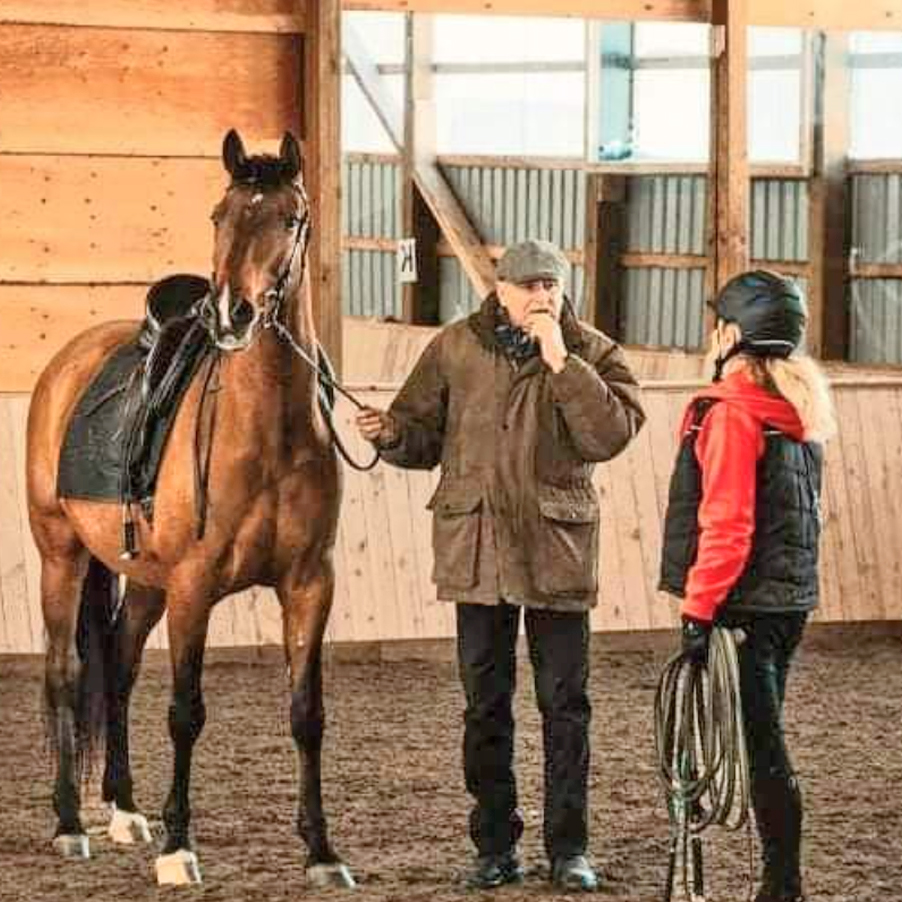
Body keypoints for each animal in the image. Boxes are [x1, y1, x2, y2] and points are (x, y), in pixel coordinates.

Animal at [25, 129, 353, 888]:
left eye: (290, 218)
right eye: (220, 215)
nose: (232, 314)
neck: (268, 431)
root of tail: (67, 364)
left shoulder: (309, 585)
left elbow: (308, 713)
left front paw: (322, 851)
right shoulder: (195, 588)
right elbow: (185, 712)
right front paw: (180, 847)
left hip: (146, 580)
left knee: (117, 666)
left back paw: (123, 811)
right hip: (61, 556)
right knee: (65, 674)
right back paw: (69, 824)